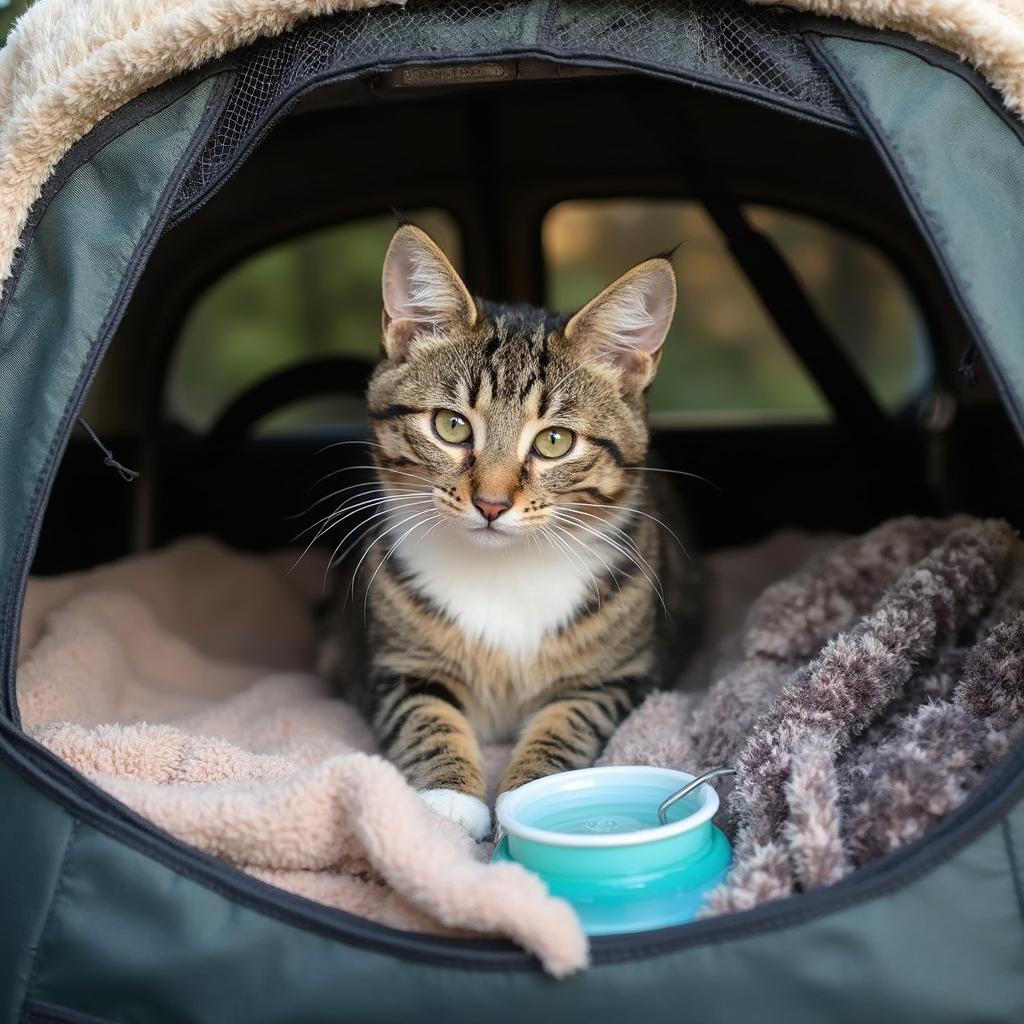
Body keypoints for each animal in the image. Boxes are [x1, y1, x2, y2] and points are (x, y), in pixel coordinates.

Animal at [321, 226, 704, 839]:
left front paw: (534, 796)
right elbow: (423, 716)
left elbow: (567, 723)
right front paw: (449, 801)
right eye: (451, 426)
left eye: (554, 441)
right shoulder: (394, 666)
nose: (491, 504)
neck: (504, 569)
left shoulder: (615, 680)